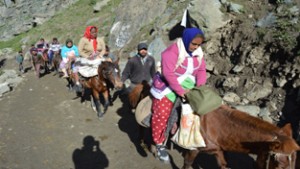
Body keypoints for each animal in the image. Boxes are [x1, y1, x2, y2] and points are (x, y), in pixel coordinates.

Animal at [128, 83, 300, 169]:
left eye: (294, 162)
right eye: (281, 164)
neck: (218, 126)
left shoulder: (218, 151)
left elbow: (224, 165)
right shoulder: (193, 150)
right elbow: (187, 165)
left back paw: (154, 149)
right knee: (142, 129)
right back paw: (144, 146)